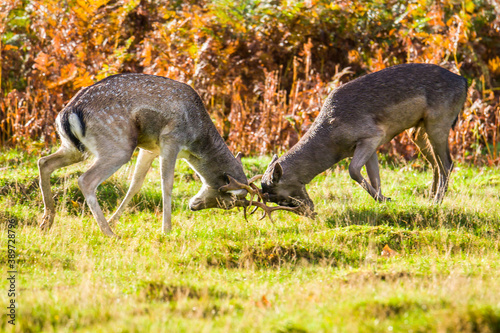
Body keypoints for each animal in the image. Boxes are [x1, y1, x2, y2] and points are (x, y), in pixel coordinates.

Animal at [37, 74, 292, 237]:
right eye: (227, 202)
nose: (194, 206)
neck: (197, 139)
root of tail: (68, 112)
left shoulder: (149, 148)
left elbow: (136, 184)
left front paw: (114, 219)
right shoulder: (171, 139)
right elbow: (166, 183)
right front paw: (166, 229)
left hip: (74, 147)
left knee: (44, 162)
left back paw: (46, 223)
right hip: (118, 145)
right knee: (85, 179)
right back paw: (108, 233)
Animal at [258, 63, 468, 215]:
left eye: (282, 196)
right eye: (273, 199)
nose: (309, 212)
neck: (334, 143)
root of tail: (463, 81)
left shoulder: (373, 135)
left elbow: (353, 170)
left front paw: (383, 199)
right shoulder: (370, 145)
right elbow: (374, 175)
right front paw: (384, 200)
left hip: (438, 122)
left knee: (447, 163)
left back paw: (437, 201)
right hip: (418, 131)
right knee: (435, 164)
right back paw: (430, 198)